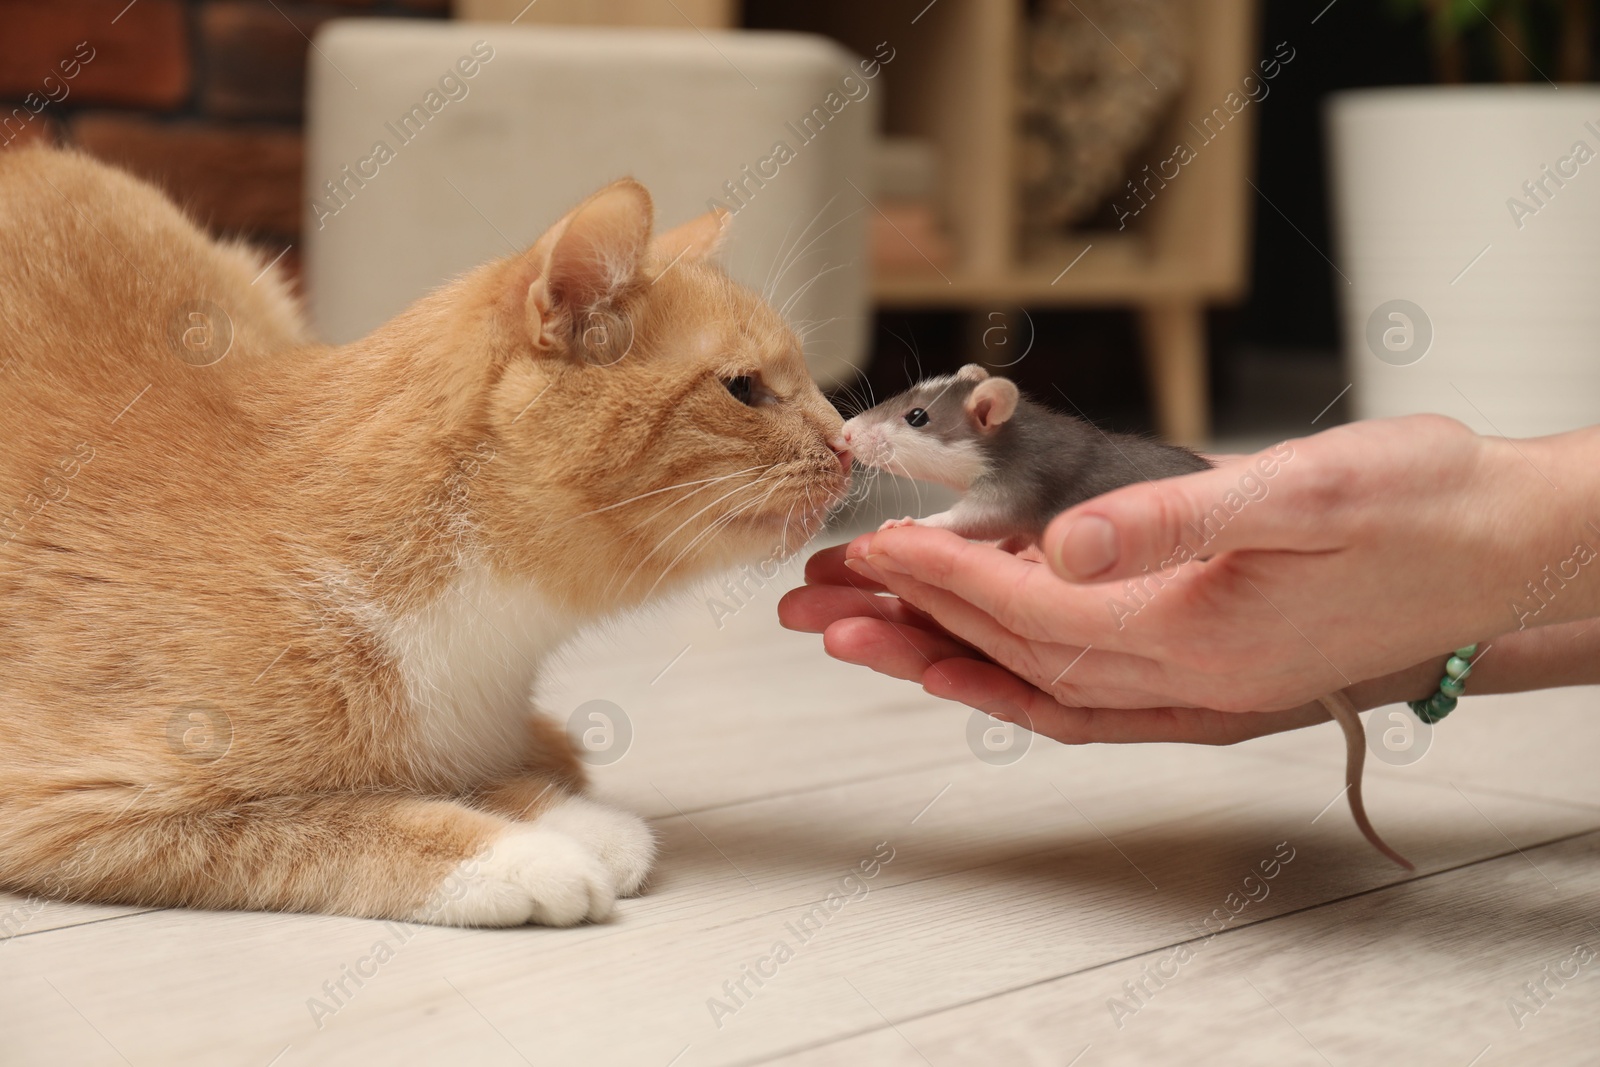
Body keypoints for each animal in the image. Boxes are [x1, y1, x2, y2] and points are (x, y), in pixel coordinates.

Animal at [0, 147, 851, 927]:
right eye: (743, 388)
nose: (848, 441)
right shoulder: (68, 806)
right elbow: (322, 823)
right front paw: (517, 854)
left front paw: (557, 810)